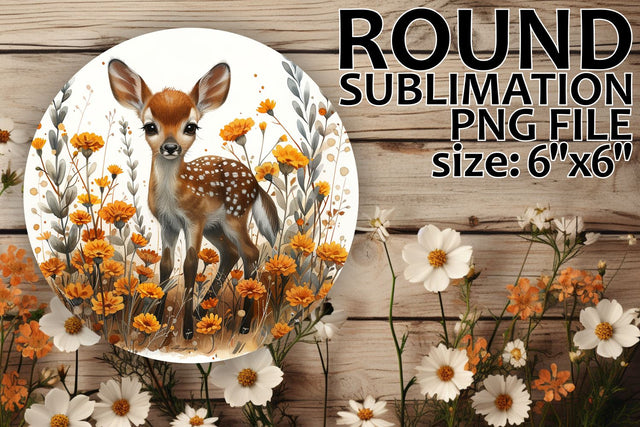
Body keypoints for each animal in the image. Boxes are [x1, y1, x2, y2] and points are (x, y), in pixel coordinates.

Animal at [107, 59, 280, 339]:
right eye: (150, 126)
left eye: (190, 126)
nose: (170, 147)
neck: (175, 196)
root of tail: (256, 184)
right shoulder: (168, 223)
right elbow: (166, 265)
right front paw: (156, 320)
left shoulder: (194, 220)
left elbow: (190, 265)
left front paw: (187, 330)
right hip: (215, 226)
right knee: (231, 252)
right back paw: (202, 309)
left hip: (234, 215)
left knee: (251, 252)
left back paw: (244, 324)